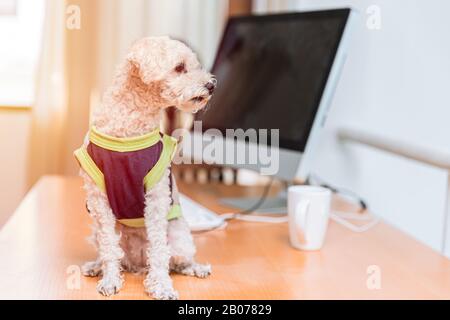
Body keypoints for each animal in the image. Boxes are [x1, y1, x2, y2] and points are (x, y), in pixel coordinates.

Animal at [74, 37, 215, 300]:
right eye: (180, 67)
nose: (211, 84)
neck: (128, 129)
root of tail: (137, 263)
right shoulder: (99, 201)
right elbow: (109, 248)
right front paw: (110, 280)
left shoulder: (157, 197)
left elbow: (159, 251)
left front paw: (161, 286)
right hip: (98, 232)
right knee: (114, 253)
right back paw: (97, 266)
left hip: (180, 236)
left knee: (177, 260)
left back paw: (196, 268)